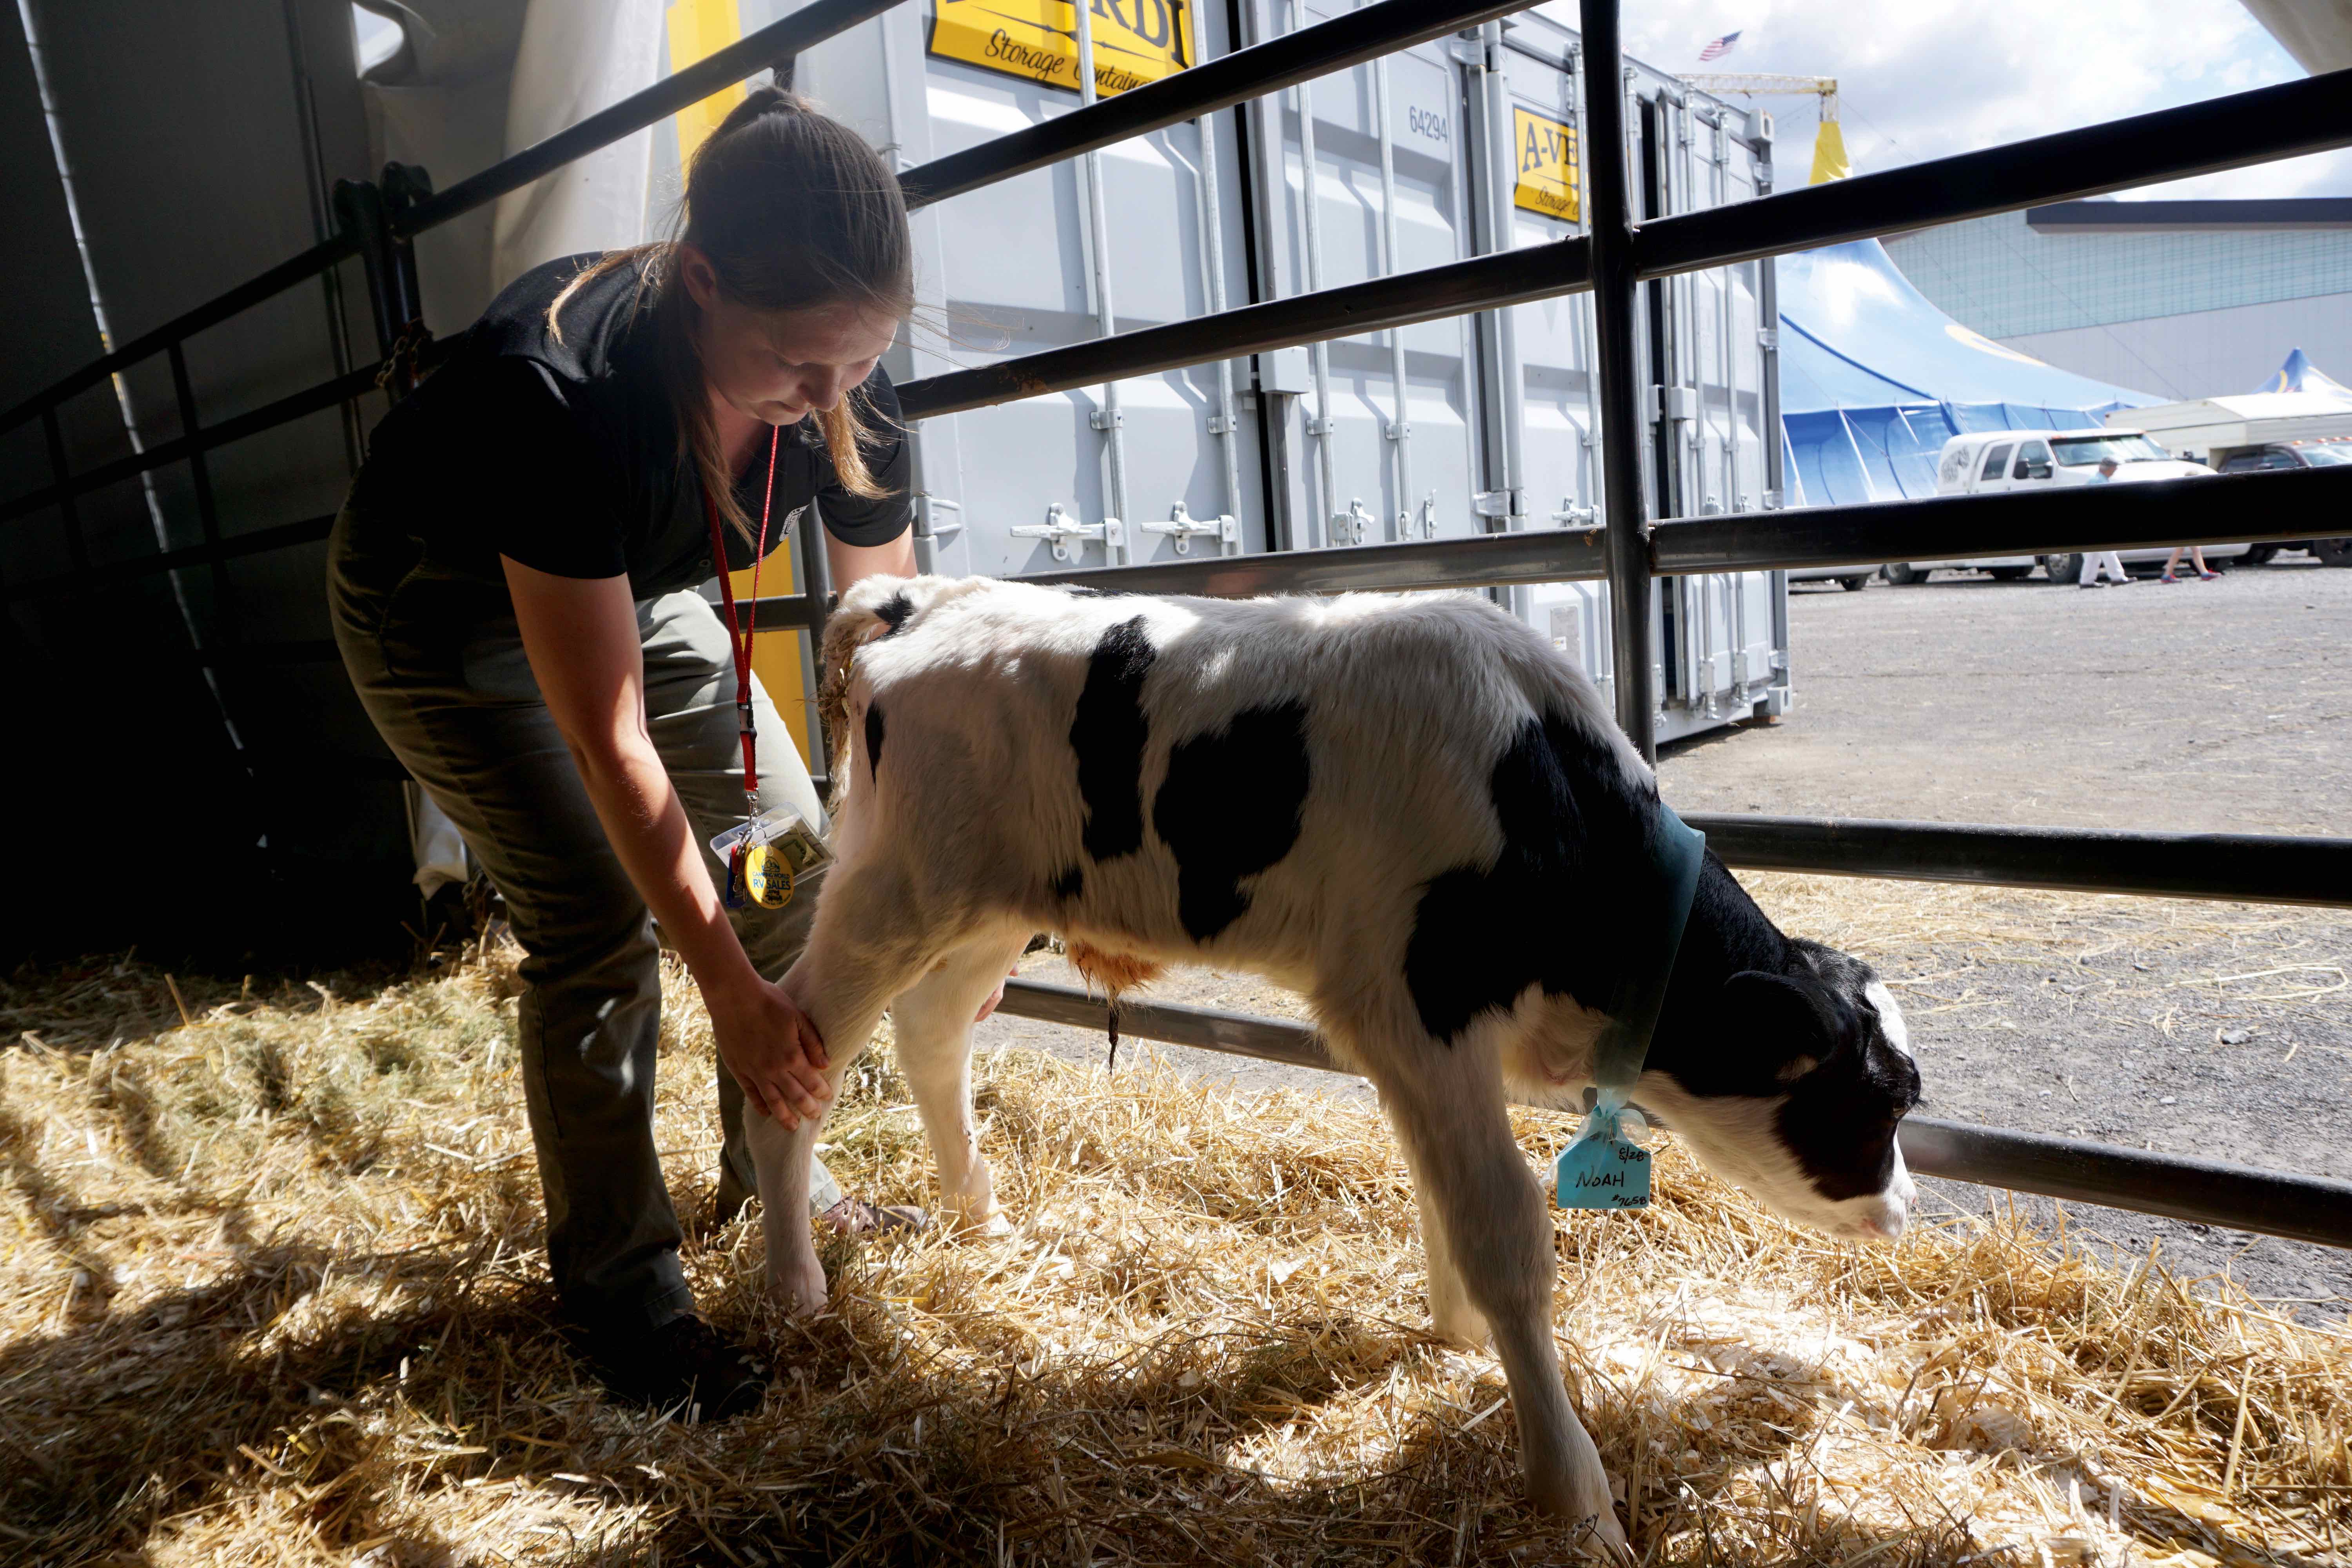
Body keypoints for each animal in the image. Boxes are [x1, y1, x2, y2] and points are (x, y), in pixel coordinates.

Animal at [753, 576, 1910, 1542]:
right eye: (1884, 1101)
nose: (1901, 1209)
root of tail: (928, 597)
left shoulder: (1418, 1035)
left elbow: (1445, 1190)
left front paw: (1456, 1336)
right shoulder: (1417, 1007)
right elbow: (1503, 1231)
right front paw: (1576, 1498)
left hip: (993, 904)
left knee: (933, 1028)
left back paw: (981, 1218)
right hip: (896, 886)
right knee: (790, 1053)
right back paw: (794, 1285)